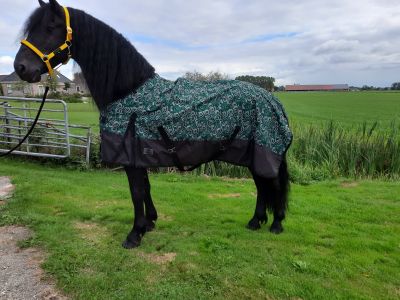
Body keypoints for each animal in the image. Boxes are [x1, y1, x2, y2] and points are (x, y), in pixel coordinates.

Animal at [14, 0, 290, 248]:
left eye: (51, 27)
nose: (21, 67)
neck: (127, 91)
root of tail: (271, 98)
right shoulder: (141, 154)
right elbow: (145, 188)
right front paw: (149, 223)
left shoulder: (131, 156)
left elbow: (136, 192)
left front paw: (134, 235)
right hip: (252, 154)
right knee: (262, 185)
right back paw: (256, 221)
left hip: (264, 151)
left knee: (273, 184)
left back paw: (276, 224)